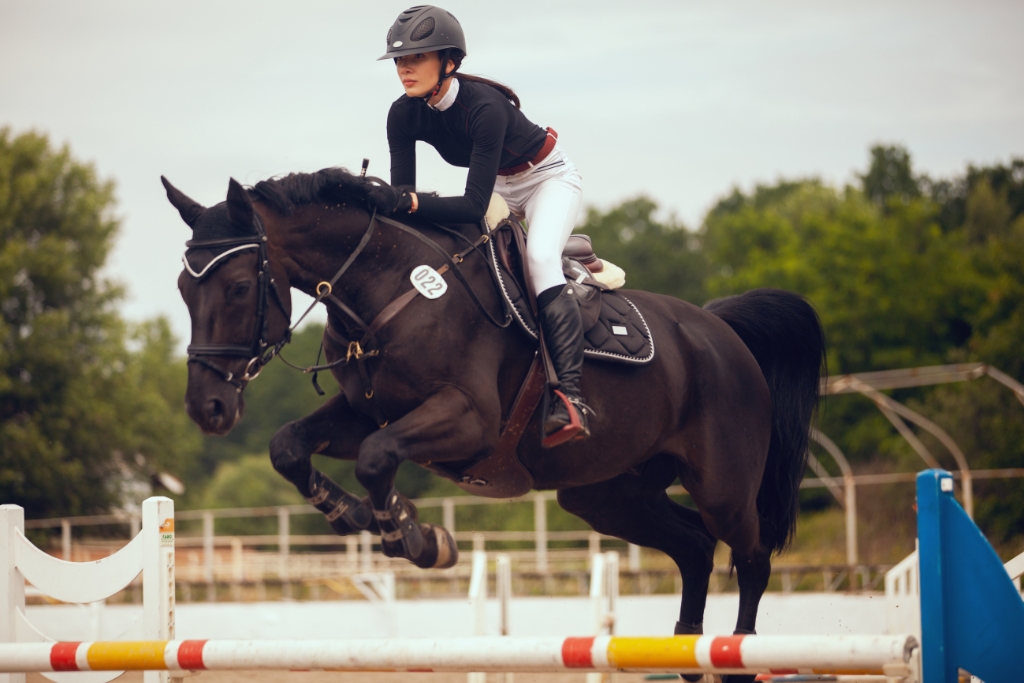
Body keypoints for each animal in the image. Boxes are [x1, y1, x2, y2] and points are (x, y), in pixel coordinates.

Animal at [165, 171, 823, 683]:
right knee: (693, 546)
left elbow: (377, 456)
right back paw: (687, 649)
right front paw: (358, 517)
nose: (206, 408)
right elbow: (289, 447)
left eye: (240, 286)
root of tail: (721, 330)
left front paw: (416, 538)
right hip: (607, 496)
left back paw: (736, 657)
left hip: (723, 485)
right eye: (181, 289)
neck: (387, 289)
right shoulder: (363, 412)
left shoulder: (467, 421)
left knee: (751, 556)